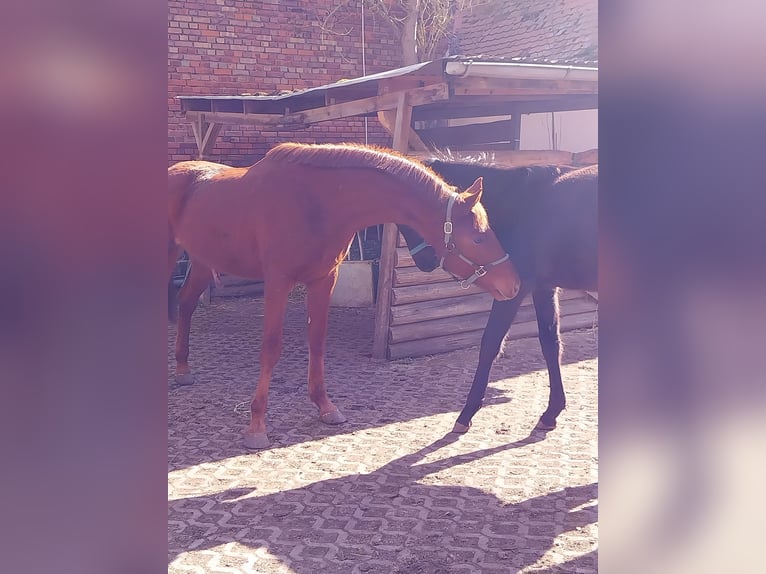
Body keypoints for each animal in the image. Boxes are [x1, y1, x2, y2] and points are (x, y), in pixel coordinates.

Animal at [168, 142, 522, 449]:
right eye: (478, 238)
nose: (514, 285)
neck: (315, 202)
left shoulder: (324, 279)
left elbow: (317, 341)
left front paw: (325, 406)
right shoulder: (278, 282)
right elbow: (271, 348)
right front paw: (256, 426)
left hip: (203, 261)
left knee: (185, 303)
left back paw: (183, 370)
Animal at [398, 160, 597, 433]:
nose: (425, 261)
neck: (519, 201)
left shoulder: (514, 290)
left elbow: (490, 344)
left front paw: (466, 414)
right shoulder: (543, 288)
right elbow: (550, 344)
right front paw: (551, 412)